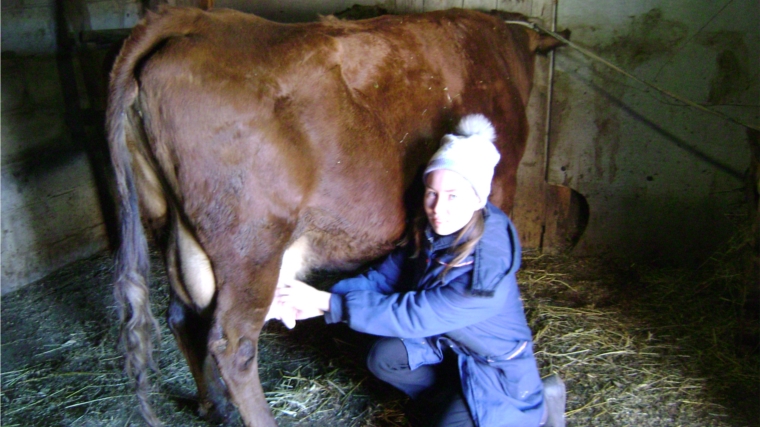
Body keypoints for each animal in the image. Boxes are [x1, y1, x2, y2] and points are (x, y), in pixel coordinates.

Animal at [107, 5, 564, 426]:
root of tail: (200, 20)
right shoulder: (501, 187)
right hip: (251, 244)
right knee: (232, 343)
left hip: (168, 225)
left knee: (183, 317)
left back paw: (212, 406)